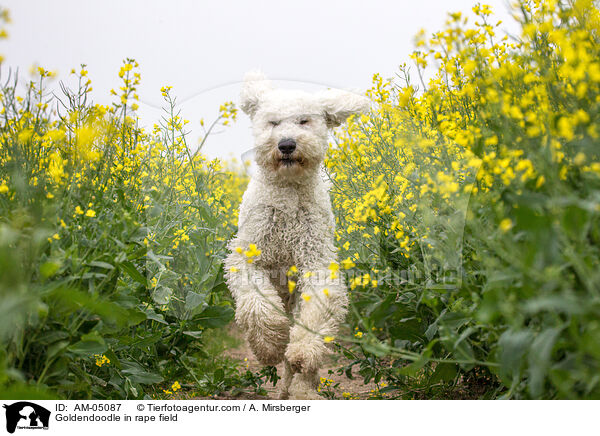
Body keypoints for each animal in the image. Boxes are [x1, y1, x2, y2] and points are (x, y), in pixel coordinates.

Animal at [225, 71, 370, 398]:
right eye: (273, 122)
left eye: (304, 121)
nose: (287, 144)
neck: (287, 195)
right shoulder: (248, 258)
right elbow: (258, 305)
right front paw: (269, 346)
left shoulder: (317, 262)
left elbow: (316, 312)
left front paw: (302, 351)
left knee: (299, 367)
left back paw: (302, 390)